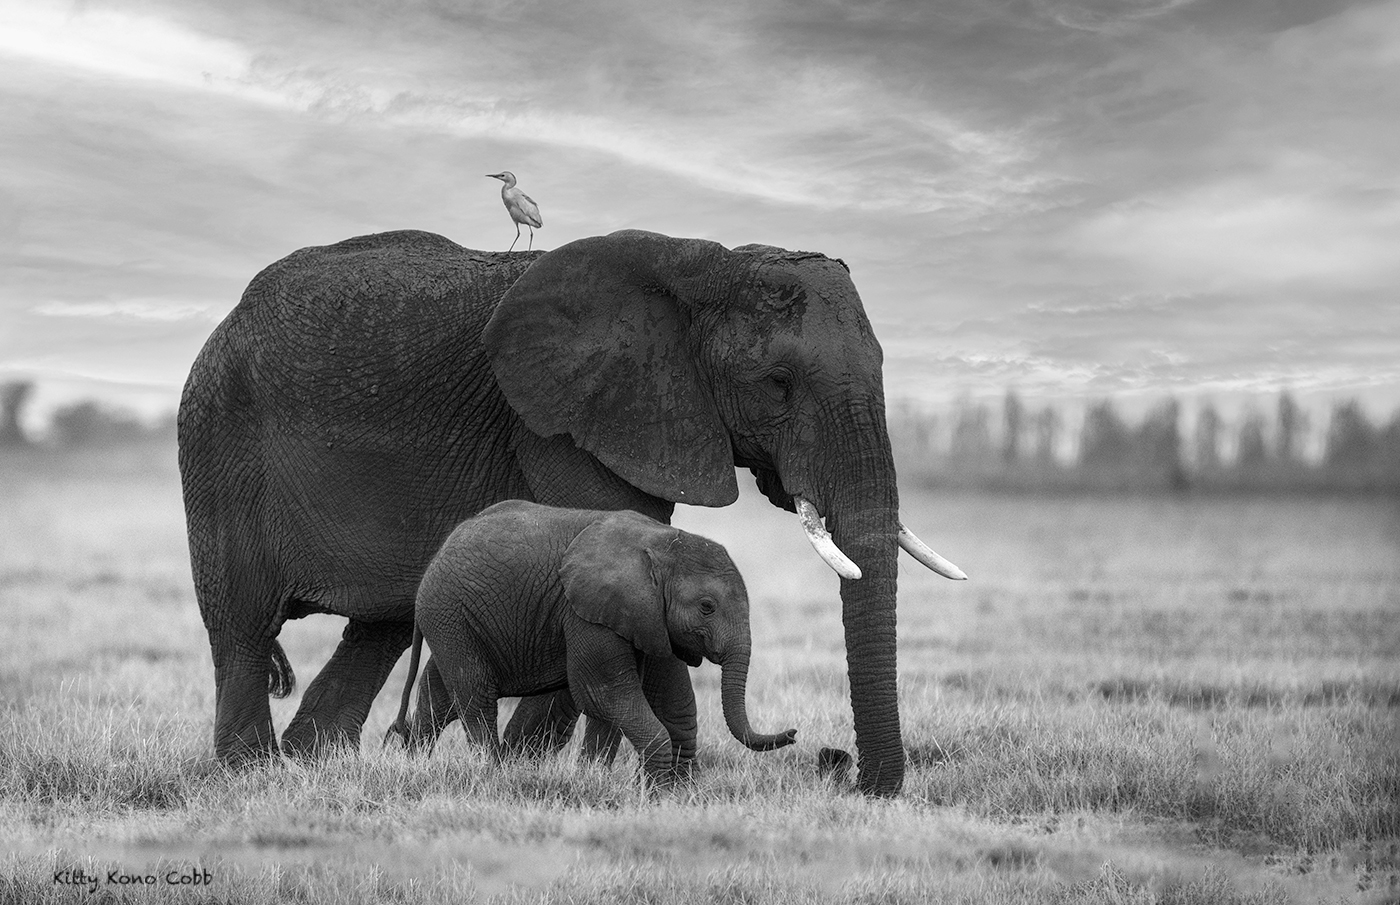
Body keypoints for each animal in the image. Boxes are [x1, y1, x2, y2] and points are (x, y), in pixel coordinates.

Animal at [384, 500, 796, 783]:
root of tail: (439, 555)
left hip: (453, 617)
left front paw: (594, 778)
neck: (659, 544)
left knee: (439, 694)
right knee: (474, 691)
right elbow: (604, 692)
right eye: (707, 607)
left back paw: (410, 761)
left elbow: (613, 701)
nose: (793, 733)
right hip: (448, 611)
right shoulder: (586, 612)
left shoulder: (639, 618)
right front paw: (654, 793)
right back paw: (493, 770)